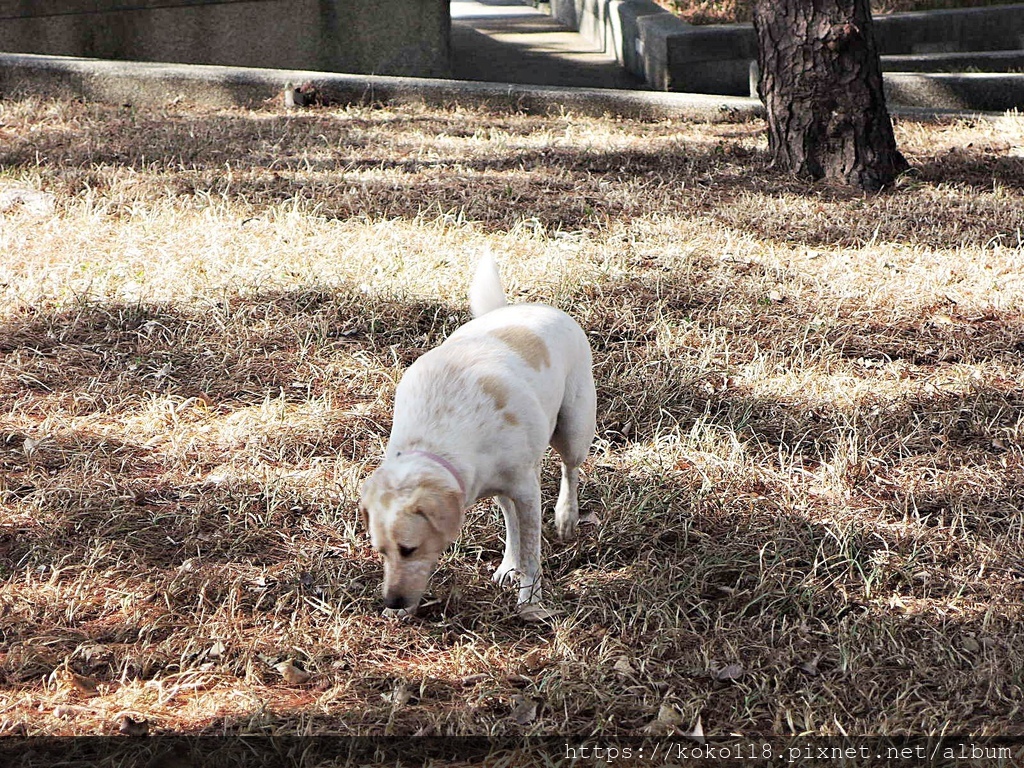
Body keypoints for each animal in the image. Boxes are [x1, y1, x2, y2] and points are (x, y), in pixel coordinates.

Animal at [362, 256, 598, 618]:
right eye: (380, 551)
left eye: (409, 549)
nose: (392, 601)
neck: (436, 441)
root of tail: (520, 306)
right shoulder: (503, 487)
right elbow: (518, 533)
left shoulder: (526, 490)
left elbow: (532, 551)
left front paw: (531, 603)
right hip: (503, 485)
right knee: (511, 520)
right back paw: (508, 566)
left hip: (573, 430)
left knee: (569, 471)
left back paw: (566, 516)